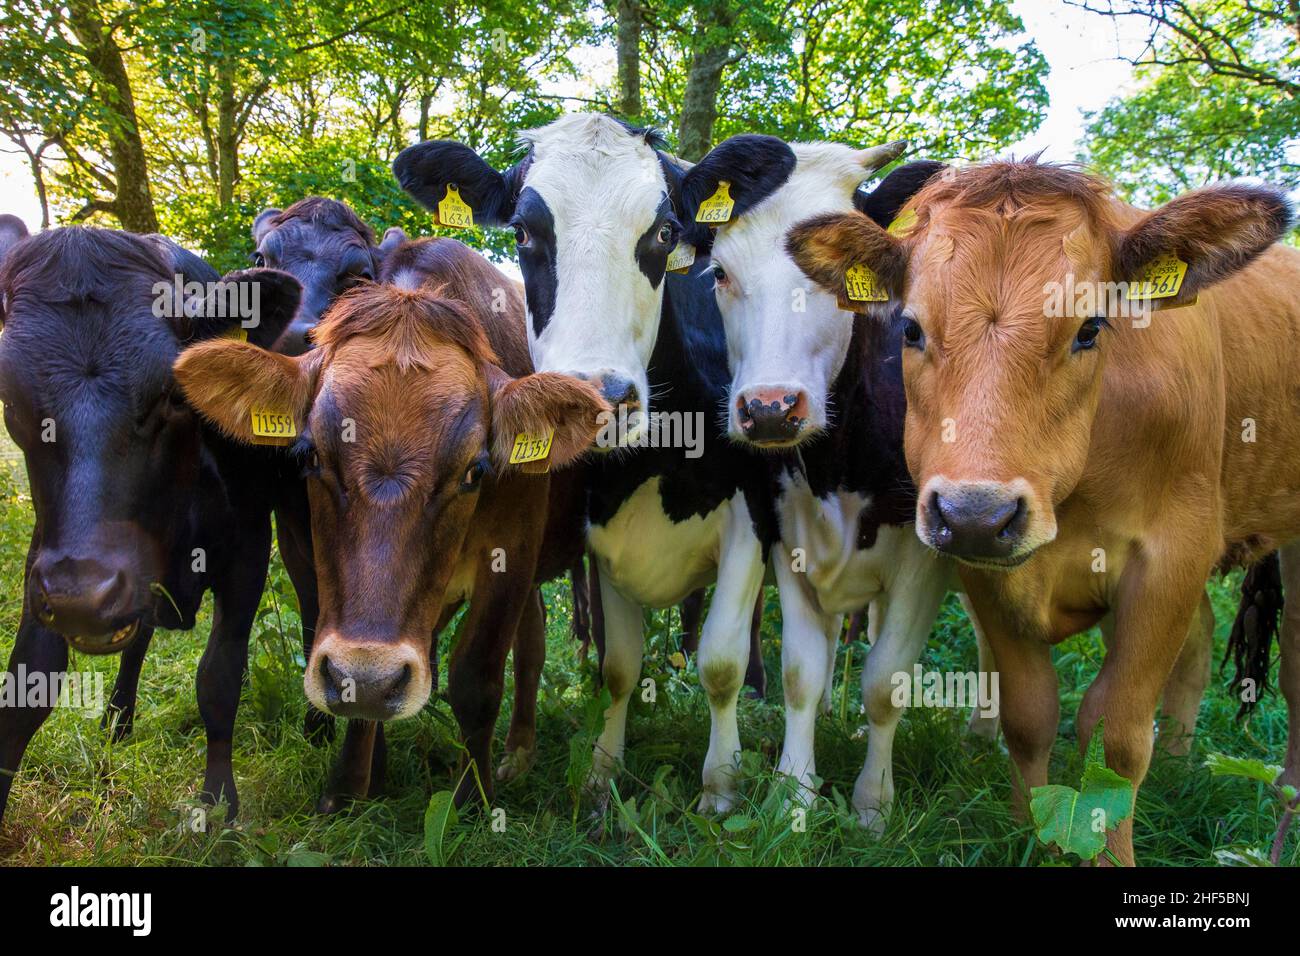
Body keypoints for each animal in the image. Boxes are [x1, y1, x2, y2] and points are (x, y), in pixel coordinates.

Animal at [0, 225, 303, 830]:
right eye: (13, 401)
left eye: (171, 393)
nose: (81, 596)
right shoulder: (44, 561)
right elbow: (29, 683)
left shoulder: (248, 554)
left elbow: (218, 678)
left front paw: (218, 805)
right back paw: (117, 720)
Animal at [174, 237, 609, 808]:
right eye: (311, 455)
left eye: (475, 470)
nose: (368, 676)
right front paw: (350, 785)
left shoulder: (511, 552)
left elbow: (477, 678)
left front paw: (472, 797)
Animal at [393, 113, 778, 812]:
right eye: (523, 232)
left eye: (663, 231)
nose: (596, 397)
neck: (656, 463)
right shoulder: (600, 538)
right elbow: (617, 664)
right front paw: (602, 773)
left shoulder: (752, 516)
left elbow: (721, 663)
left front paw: (720, 786)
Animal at [787, 158, 1296, 864]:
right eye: (911, 329)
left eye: (1089, 328)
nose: (976, 512)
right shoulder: (984, 567)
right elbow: (1030, 716)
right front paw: (1030, 829)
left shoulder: (1173, 554)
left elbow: (1115, 736)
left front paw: (1112, 851)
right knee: (1198, 642)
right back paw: (1178, 762)